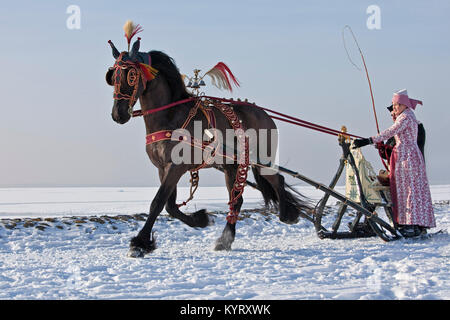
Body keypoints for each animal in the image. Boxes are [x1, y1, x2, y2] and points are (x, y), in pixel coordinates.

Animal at [105, 37, 312, 258]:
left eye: (132, 75)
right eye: (113, 76)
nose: (118, 114)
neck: (170, 116)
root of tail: (264, 114)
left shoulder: (176, 167)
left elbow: (158, 202)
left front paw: (139, 243)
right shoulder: (163, 168)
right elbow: (169, 205)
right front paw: (201, 219)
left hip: (261, 160)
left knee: (276, 179)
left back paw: (287, 214)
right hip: (232, 166)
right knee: (236, 201)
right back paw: (226, 239)